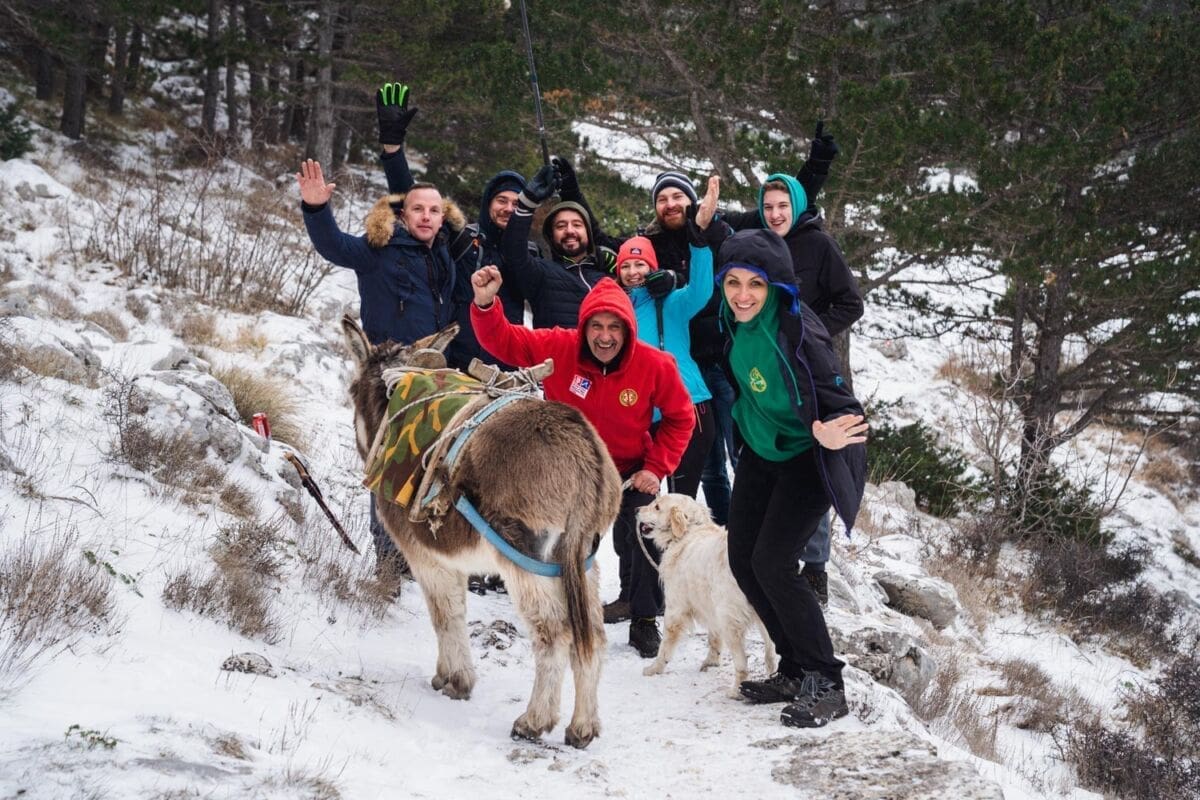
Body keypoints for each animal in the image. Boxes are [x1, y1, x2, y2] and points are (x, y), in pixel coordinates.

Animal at [340, 317, 622, 748]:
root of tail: (584, 457)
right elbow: (454, 610)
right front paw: (451, 676)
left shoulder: (425, 556)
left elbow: (445, 614)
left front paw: (455, 680)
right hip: (581, 563)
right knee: (592, 636)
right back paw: (583, 727)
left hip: (526, 562)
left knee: (554, 636)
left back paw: (534, 721)